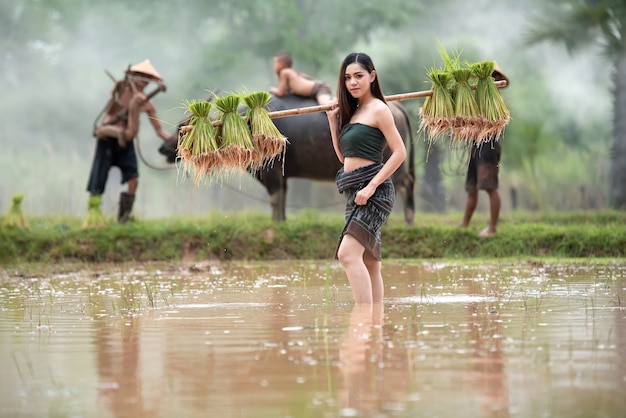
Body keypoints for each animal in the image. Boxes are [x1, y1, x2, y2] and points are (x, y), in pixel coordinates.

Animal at [160, 94, 414, 225]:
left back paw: (408, 220)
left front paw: (275, 223)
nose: (163, 148)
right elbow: (282, 199)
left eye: (181, 129)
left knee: (403, 185)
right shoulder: (282, 176)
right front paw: (281, 221)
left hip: (393, 163)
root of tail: (396, 107)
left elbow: (274, 198)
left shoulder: (270, 172)